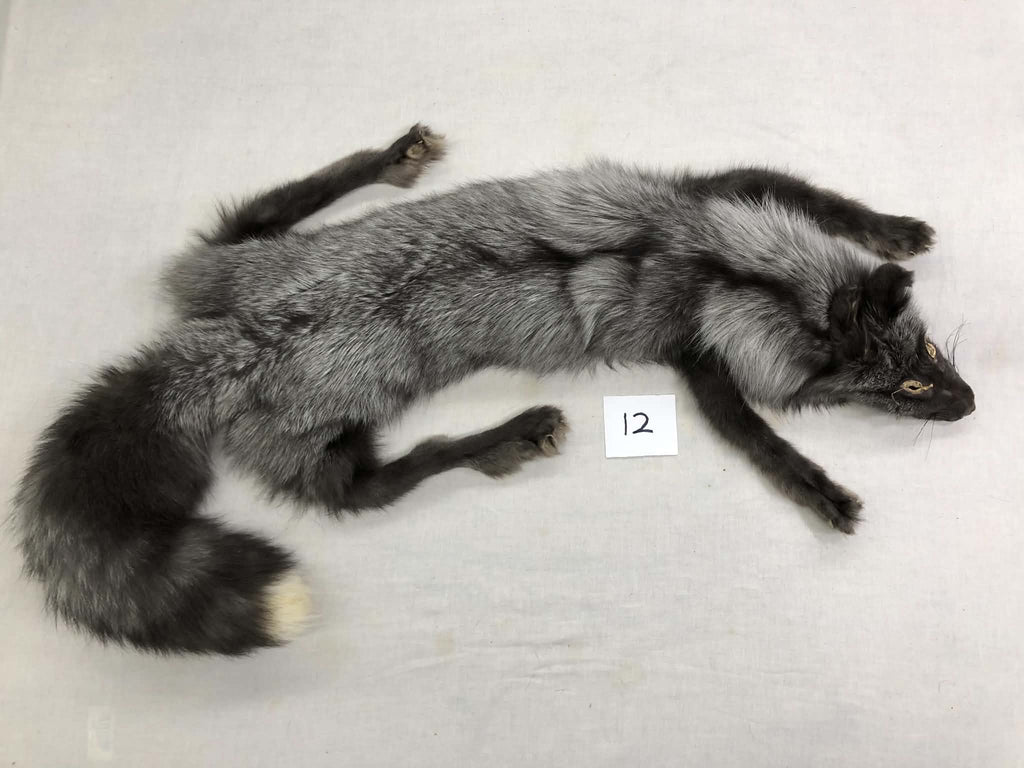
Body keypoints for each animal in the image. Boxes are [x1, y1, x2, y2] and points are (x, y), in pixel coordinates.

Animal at [13, 124, 975, 655]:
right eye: (905, 386)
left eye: (929, 349)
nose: (969, 404)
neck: (713, 269)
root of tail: (217, 346)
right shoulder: (700, 348)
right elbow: (760, 441)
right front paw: (821, 490)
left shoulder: (713, 201)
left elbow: (810, 193)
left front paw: (891, 227)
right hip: (331, 453)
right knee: (380, 482)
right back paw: (507, 434)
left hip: (237, 257)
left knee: (256, 213)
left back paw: (391, 158)